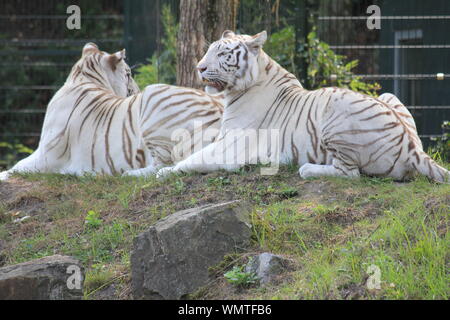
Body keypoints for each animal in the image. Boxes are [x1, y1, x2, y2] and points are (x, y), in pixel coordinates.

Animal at [0, 42, 222, 181]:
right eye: (129, 74)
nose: (137, 90)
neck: (84, 77)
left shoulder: (44, 155)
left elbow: (11, 169)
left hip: (155, 98)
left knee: (165, 165)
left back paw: (126, 174)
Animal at [155, 30, 446, 182]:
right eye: (209, 50)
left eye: (223, 53)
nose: (200, 68)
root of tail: (411, 147)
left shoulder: (231, 147)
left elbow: (192, 159)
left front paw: (163, 171)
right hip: (388, 96)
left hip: (337, 114)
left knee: (350, 173)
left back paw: (307, 169)